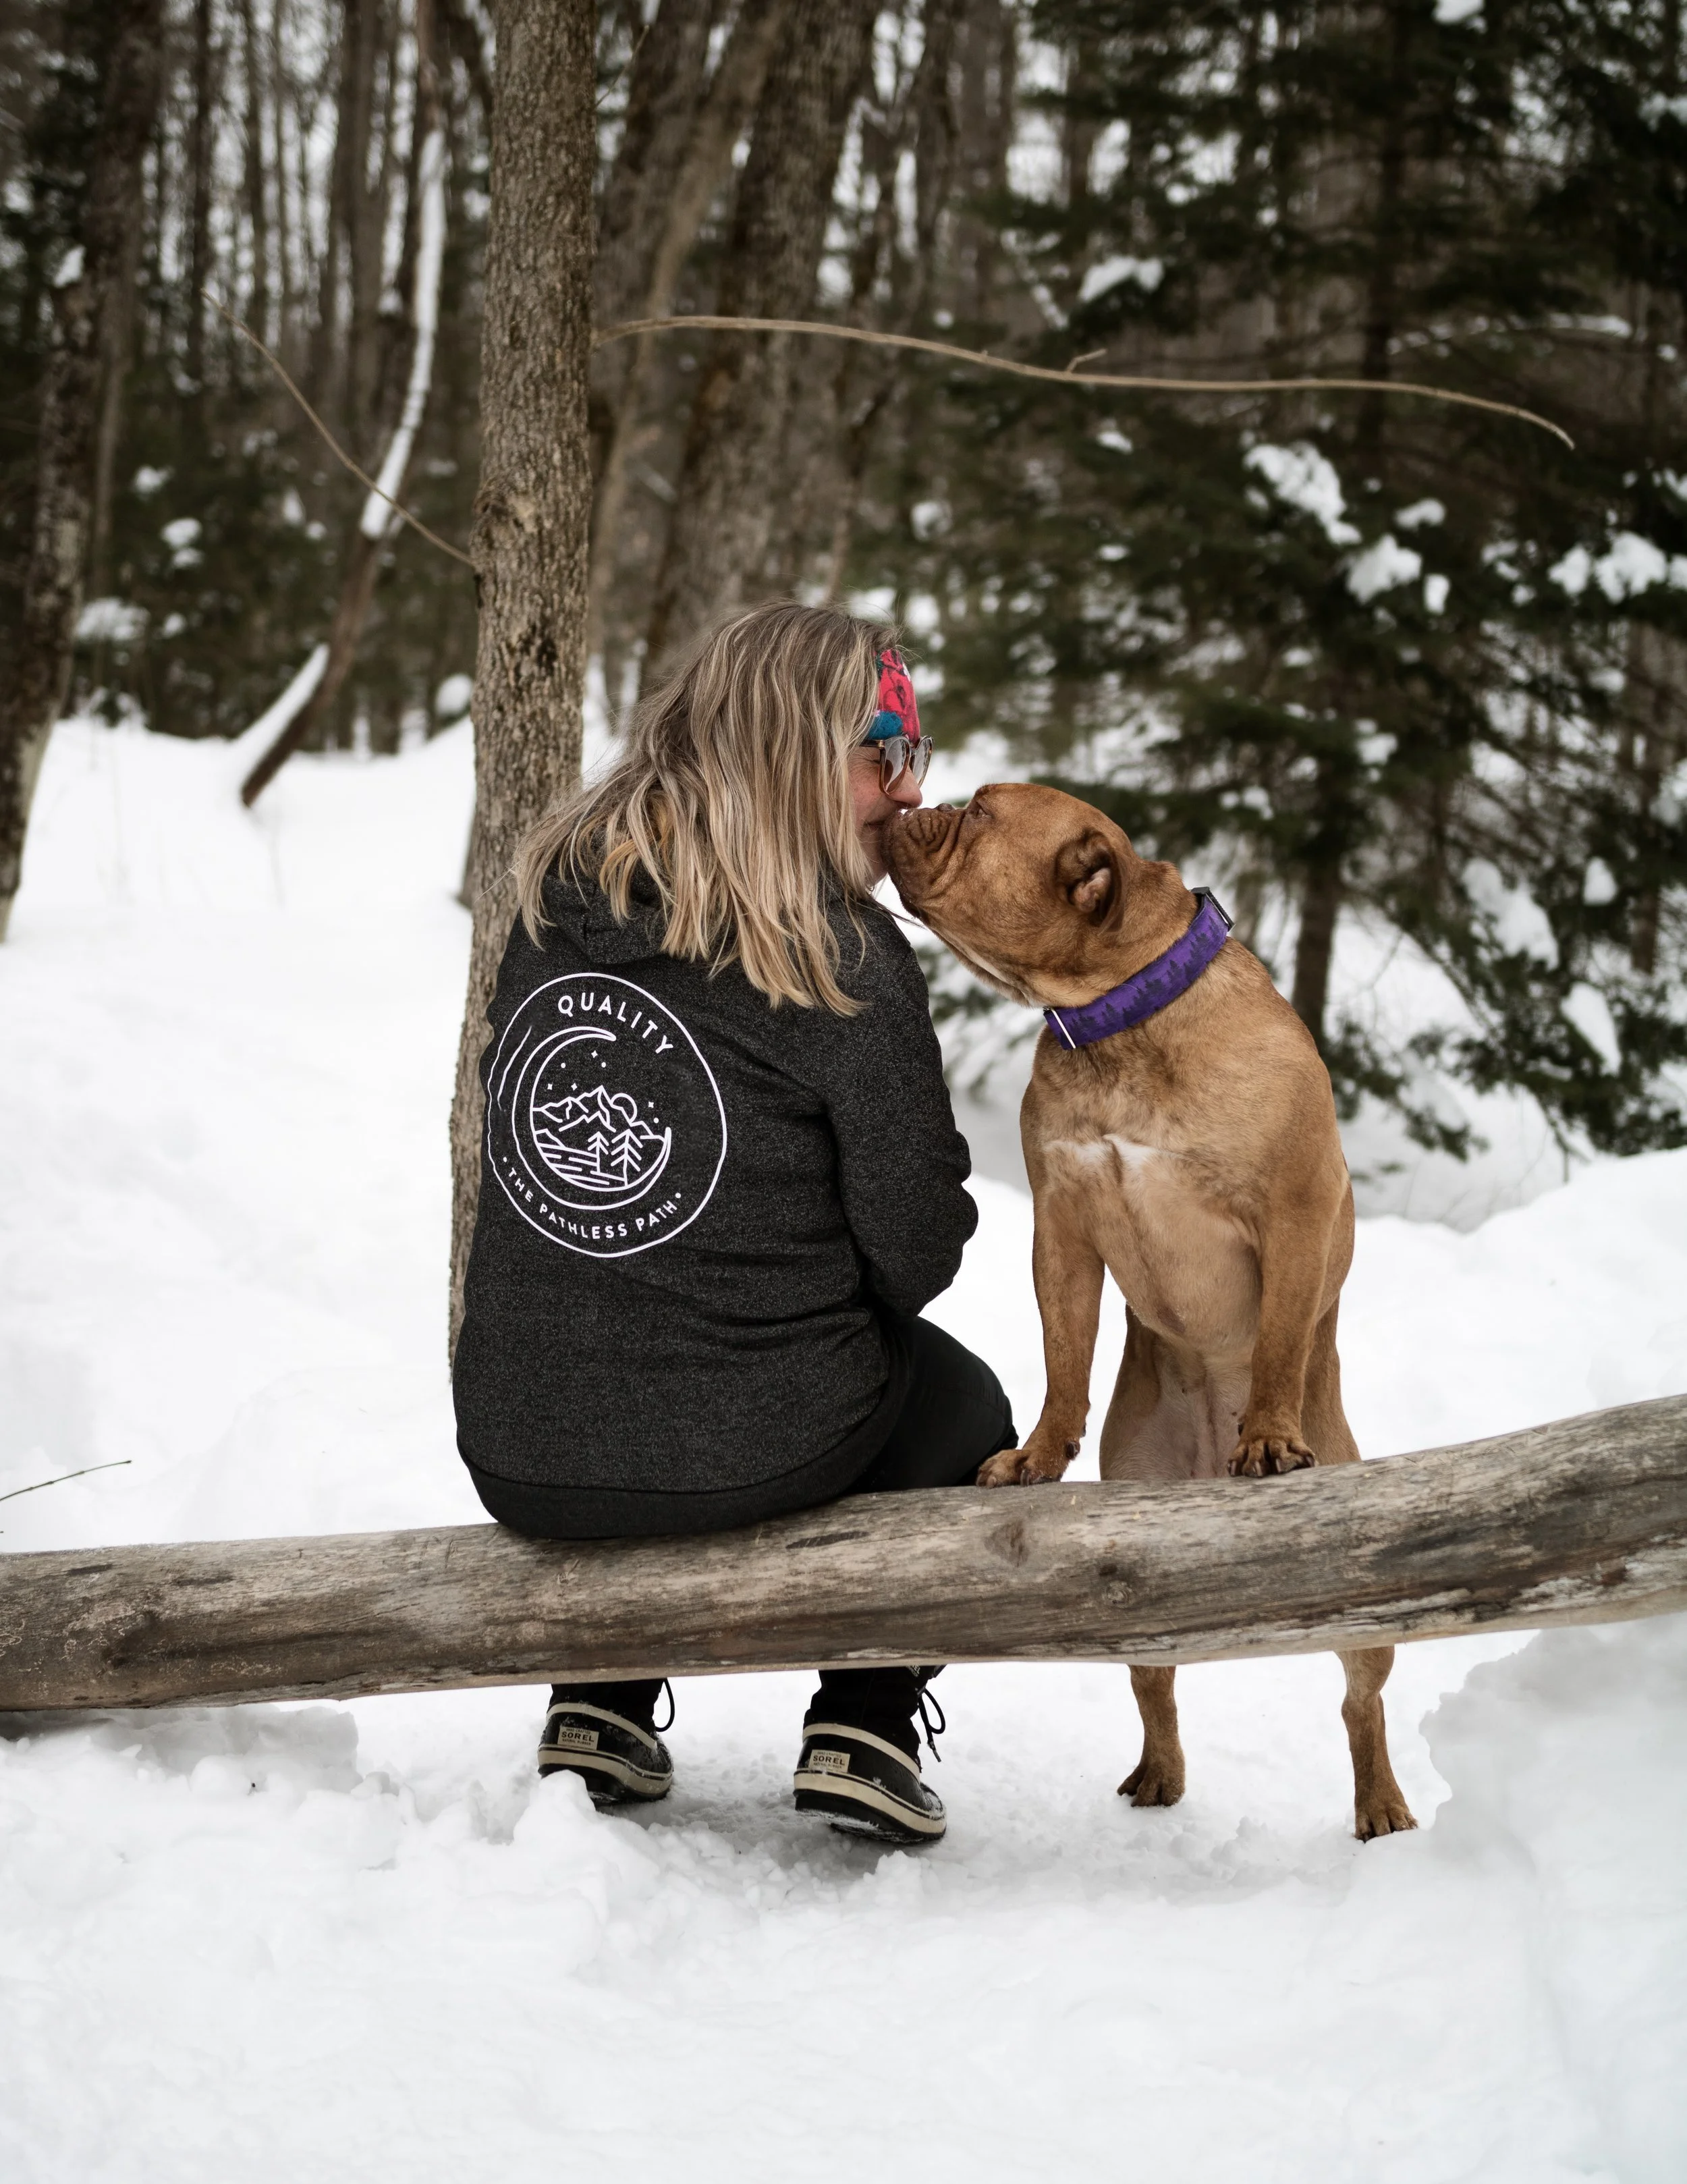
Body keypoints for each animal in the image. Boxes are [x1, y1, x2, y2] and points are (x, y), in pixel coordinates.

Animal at [885, 782, 1416, 1840]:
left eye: (981, 812)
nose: (924, 802)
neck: (1115, 1018)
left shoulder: (1294, 1211)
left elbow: (1282, 1334)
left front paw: (1268, 1435)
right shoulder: (1061, 1226)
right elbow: (1064, 1352)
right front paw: (1039, 1455)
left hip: (1359, 1588)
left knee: (1360, 1697)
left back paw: (1380, 1802)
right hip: (1135, 1556)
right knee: (1153, 1674)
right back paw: (1158, 1772)